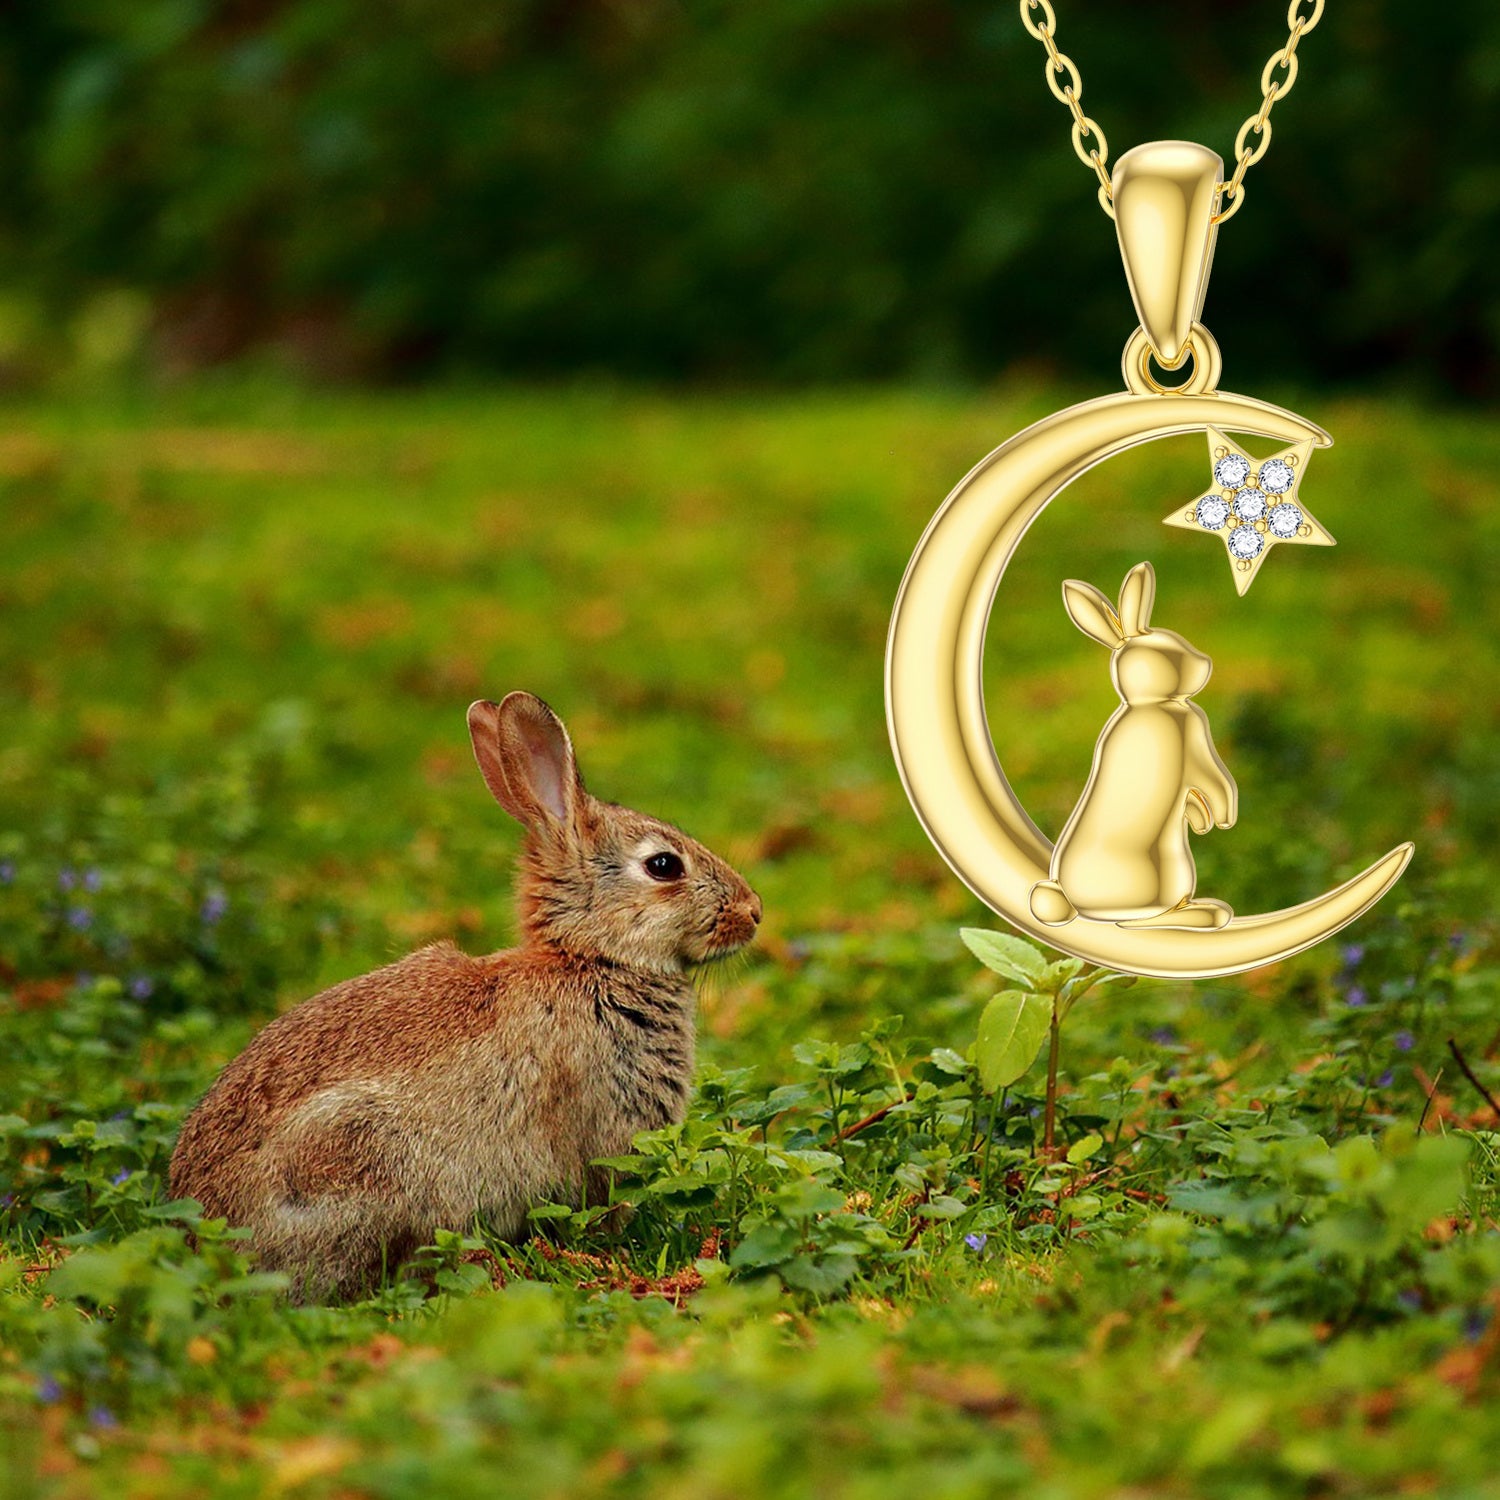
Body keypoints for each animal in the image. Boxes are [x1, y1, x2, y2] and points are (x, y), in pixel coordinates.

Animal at [1028, 561, 1237, 931]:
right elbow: (1214, 782)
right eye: (1169, 653)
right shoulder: (1191, 741)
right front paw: (1220, 820)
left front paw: (1201, 822)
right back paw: (1208, 913)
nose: (1206, 663)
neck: (1150, 703)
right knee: (1143, 920)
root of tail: (1070, 900)